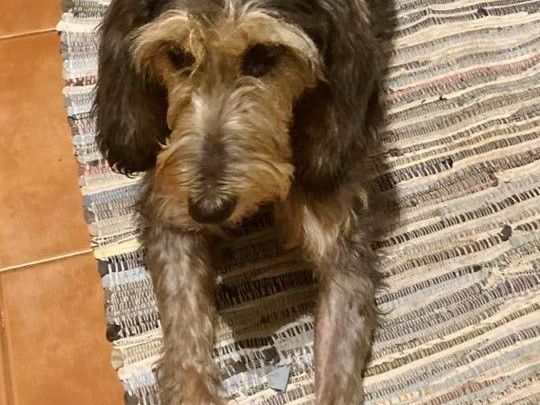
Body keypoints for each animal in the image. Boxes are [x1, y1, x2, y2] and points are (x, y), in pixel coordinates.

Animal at [95, 0, 382, 403]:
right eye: (177, 55)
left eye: (264, 55)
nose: (208, 209)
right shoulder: (170, 212)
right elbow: (184, 337)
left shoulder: (342, 253)